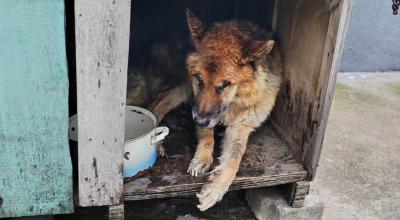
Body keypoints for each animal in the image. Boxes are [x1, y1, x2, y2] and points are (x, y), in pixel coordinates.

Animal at [126, 8, 282, 211]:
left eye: (224, 84)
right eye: (198, 78)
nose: (198, 121)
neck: (234, 101)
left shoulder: (240, 126)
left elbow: (234, 159)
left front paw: (216, 189)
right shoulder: (198, 106)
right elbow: (207, 136)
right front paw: (202, 158)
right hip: (180, 87)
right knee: (153, 107)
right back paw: (156, 142)